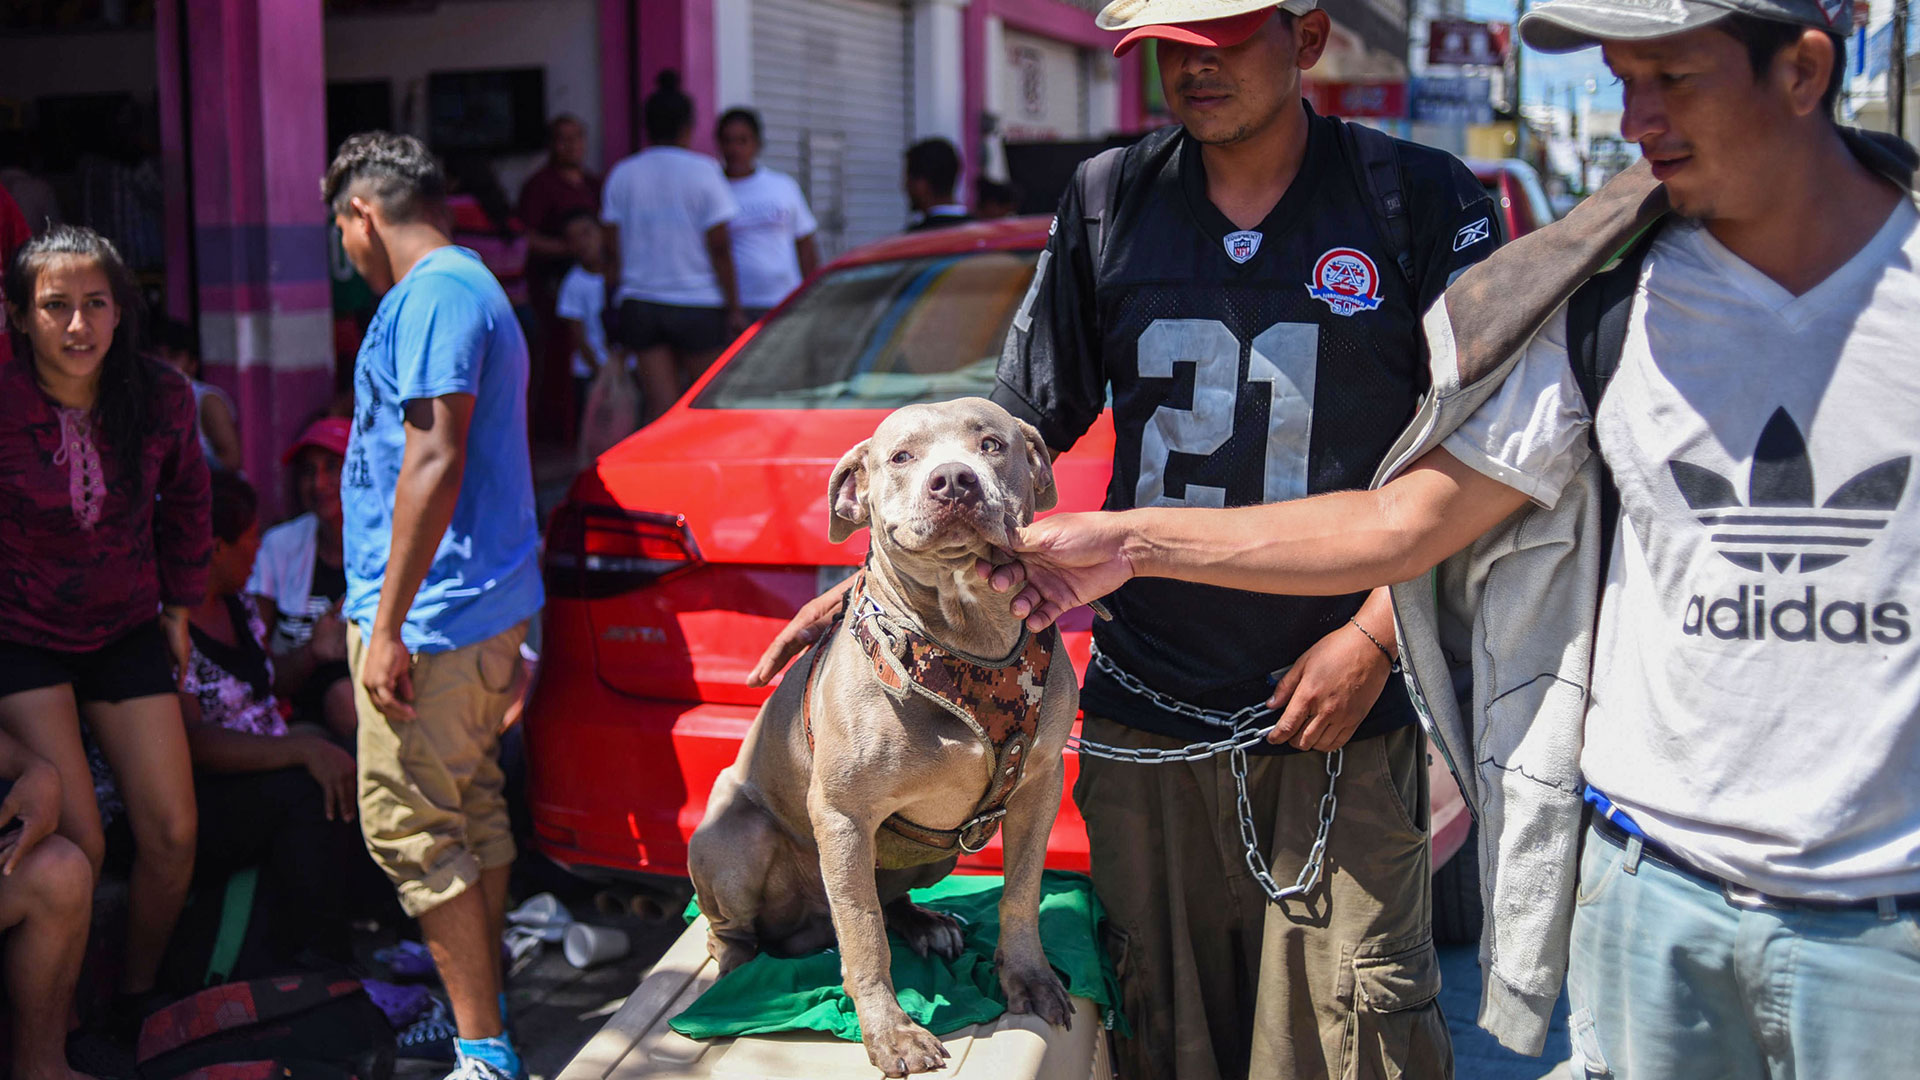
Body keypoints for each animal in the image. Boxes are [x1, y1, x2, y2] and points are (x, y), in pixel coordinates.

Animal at [691, 395, 1082, 1068]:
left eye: (991, 444)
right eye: (900, 457)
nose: (953, 480)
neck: (965, 637)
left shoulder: (1039, 784)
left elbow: (1022, 890)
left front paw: (1028, 978)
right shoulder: (843, 814)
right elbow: (863, 931)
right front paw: (891, 1032)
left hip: (933, 855)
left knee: (888, 900)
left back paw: (927, 925)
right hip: (733, 838)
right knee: (736, 932)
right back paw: (737, 975)